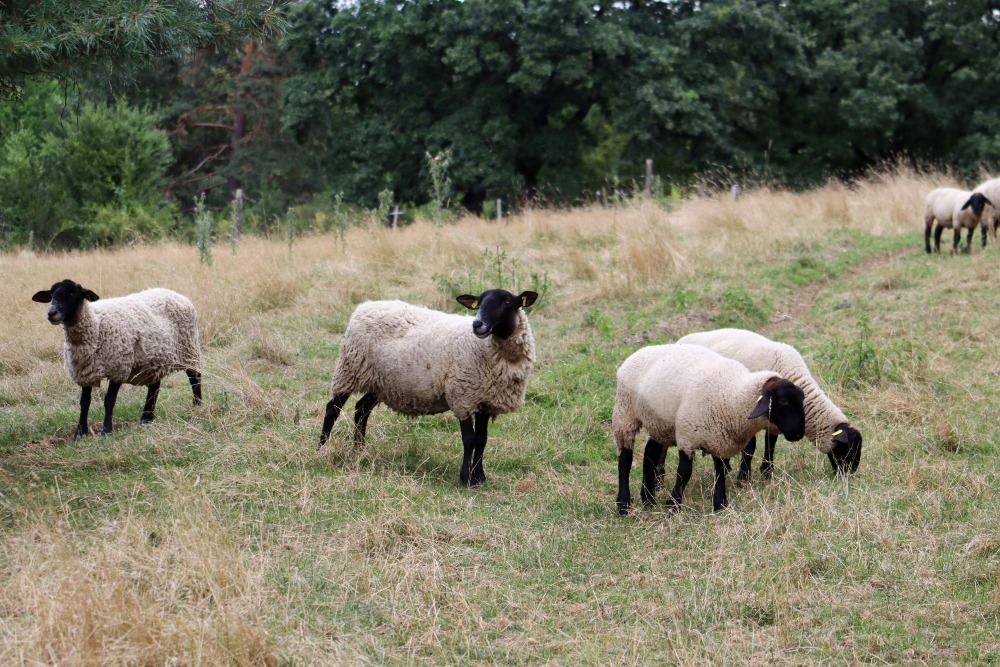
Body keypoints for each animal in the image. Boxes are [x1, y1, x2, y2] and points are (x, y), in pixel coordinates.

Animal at [32, 276, 203, 438]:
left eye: (73, 293)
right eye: (51, 294)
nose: (51, 313)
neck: (95, 325)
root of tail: (177, 294)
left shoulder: (118, 367)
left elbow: (109, 400)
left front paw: (106, 430)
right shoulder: (86, 371)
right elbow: (84, 402)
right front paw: (80, 432)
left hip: (189, 348)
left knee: (195, 377)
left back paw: (197, 406)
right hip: (156, 357)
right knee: (155, 386)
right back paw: (146, 418)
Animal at [320, 290, 540, 488]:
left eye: (507, 302)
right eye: (479, 302)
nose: (477, 324)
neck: (487, 350)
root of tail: (365, 306)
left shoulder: (484, 401)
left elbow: (482, 440)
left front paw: (480, 477)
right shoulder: (462, 397)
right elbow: (469, 440)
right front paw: (466, 478)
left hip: (380, 382)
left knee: (361, 409)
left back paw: (359, 450)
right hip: (350, 369)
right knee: (333, 409)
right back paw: (322, 449)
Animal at [608, 342, 804, 516]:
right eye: (783, 401)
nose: (798, 434)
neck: (732, 395)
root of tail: (638, 352)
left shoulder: (719, 437)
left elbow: (720, 470)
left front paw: (720, 504)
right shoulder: (687, 436)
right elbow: (685, 472)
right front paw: (673, 505)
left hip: (659, 422)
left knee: (649, 453)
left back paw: (648, 500)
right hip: (625, 414)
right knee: (625, 459)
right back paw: (624, 504)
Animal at [676, 328, 864, 486]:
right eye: (848, 449)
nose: (848, 476)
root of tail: (682, 339)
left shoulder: (775, 420)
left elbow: (770, 442)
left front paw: (767, 472)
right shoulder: (748, 412)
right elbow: (750, 447)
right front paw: (744, 478)